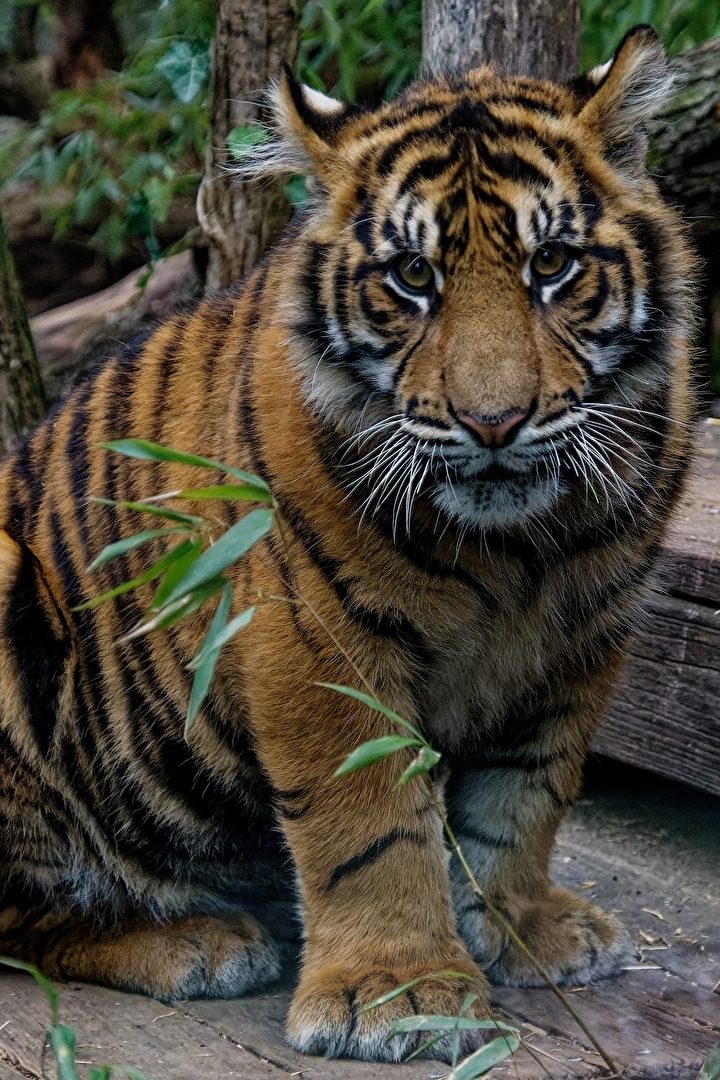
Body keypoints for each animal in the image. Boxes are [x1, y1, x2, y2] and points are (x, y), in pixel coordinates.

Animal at [0, 24, 696, 1063]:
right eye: (413, 277)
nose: (495, 423)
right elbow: (368, 821)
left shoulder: (582, 636)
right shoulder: (310, 636)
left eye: (553, 264)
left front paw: (526, 928)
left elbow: (528, 793)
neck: (524, 548)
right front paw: (397, 995)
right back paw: (197, 943)